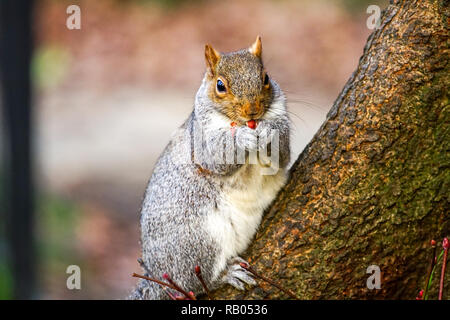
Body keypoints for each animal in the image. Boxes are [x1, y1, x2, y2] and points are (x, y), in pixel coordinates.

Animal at [128, 36, 290, 298]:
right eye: (220, 85)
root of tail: (155, 277)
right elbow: (216, 157)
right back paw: (226, 275)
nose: (252, 111)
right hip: (198, 241)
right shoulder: (201, 141)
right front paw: (241, 138)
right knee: (195, 281)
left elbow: (282, 155)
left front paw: (270, 131)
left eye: (265, 77)